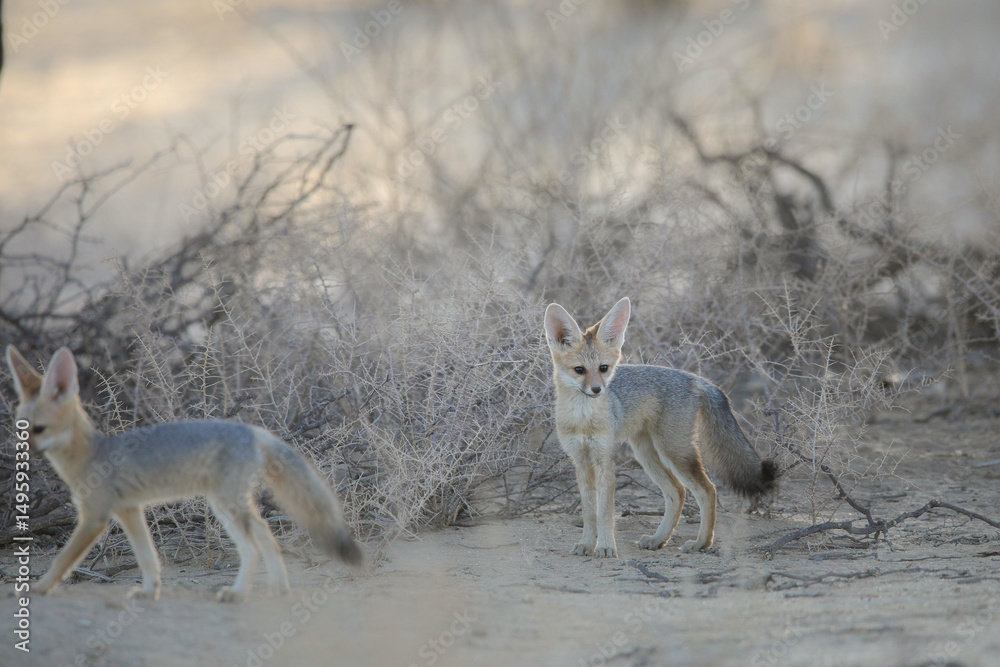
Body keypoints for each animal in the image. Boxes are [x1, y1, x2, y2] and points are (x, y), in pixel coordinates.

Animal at [5, 345, 362, 602]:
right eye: (21, 426)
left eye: (39, 429)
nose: (20, 451)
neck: (91, 455)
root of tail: (252, 430)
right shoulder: (129, 510)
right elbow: (147, 557)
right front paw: (149, 591)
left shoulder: (94, 517)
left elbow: (62, 560)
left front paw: (39, 588)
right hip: (227, 506)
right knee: (266, 536)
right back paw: (278, 588)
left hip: (226, 507)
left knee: (254, 547)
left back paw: (238, 594)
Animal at [544, 297, 777, 558]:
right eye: (580, 370)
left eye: (603, 368)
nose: (597, 390)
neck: (583, 419)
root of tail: (697, 379)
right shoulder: (581, 461)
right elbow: (589, 511)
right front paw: (586, 543)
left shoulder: (605, 459)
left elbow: (605, 512)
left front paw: (605, 546)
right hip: (647, 454)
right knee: (677, 492)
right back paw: (659, 539)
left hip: (674, 452)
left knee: (708, 490)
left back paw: (701, 543)